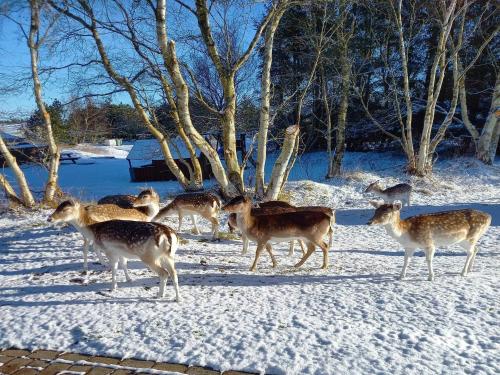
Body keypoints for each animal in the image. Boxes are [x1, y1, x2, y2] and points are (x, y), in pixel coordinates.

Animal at [48, 201, 180, 302]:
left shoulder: (109, 251)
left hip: (149, 256)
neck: (93, 230)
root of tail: (168, 234)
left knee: (164, 273)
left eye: (65, 209)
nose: (49, 218)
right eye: (57, 206)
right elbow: (124, 265)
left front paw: (113, 288)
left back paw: (159, 295)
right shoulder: (121, 252)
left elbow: (114, 269)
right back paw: (177, 298)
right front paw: (128, 279)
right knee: (174, 273)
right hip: (168, 255)